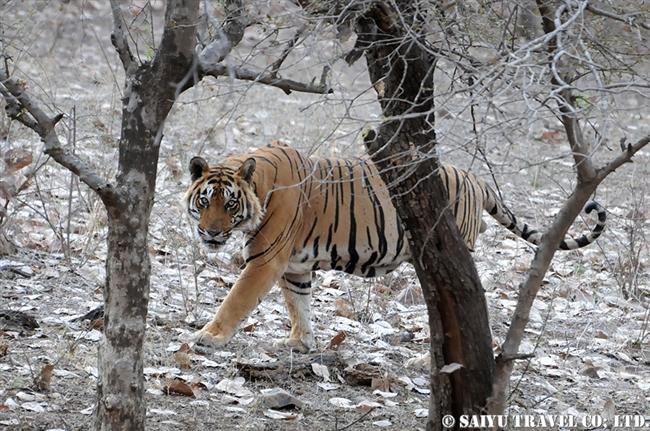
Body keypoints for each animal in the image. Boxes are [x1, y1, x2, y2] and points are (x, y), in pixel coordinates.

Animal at [181, 143, 604, 352]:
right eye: (205, 201)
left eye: (229, 204)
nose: (211, 233)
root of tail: (475, 177)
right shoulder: (295, 267)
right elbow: (299, 304)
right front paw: (301, 342)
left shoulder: (265, 260)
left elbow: (236, 300)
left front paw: (209, 337)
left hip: (446, 252)